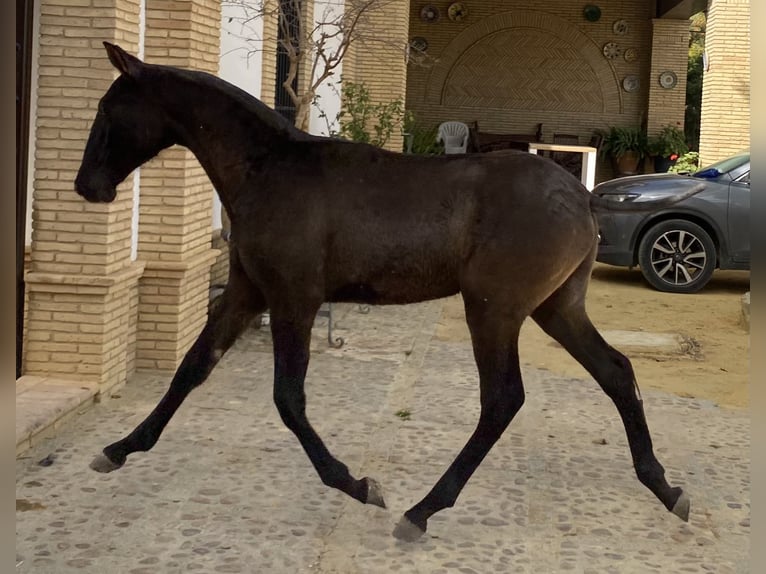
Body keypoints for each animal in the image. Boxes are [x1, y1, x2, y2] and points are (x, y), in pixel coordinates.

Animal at [75, 42, 700, 544]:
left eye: (108, 110)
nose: (87, 186)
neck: (270, 170)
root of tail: (582, 197)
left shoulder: (294, 299)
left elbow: (288, 399)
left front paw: (356, 484)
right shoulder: (249, 293)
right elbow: (192, 367)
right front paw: (118, 449)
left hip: (494, 311)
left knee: (503, 399)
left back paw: (422, 510)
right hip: (556, 308)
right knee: (616, 371)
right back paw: (666, 488)